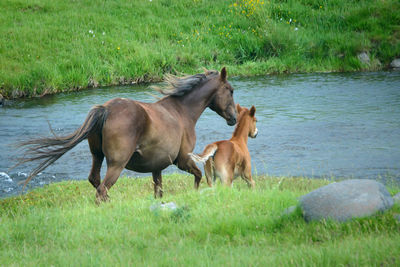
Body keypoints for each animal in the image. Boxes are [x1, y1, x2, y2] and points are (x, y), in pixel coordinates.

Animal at [18, 68, 236, 202]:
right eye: (231, 90)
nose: (233, 118)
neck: (182, 112)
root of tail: (106, 109)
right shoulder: (182, 160)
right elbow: (199, 176)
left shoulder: (157, 167)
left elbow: (159, 191)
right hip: (117, 164)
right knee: (102, 189)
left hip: (97, 156)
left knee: (95, 181)